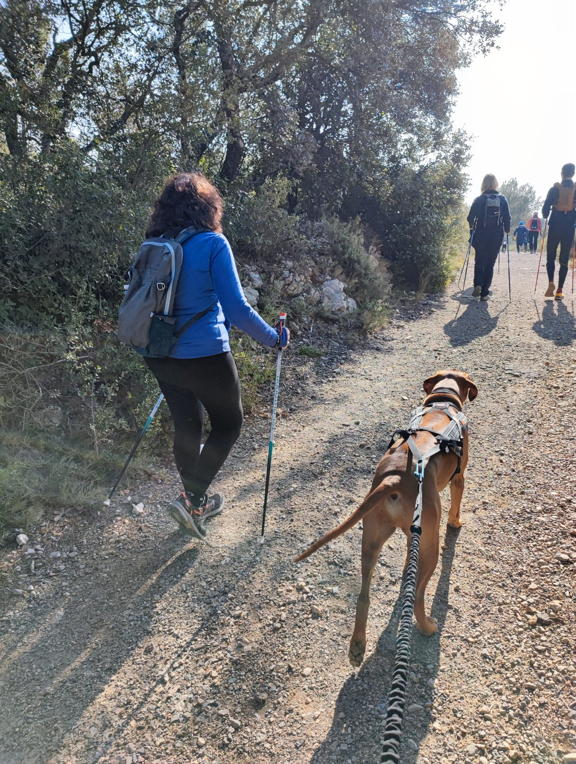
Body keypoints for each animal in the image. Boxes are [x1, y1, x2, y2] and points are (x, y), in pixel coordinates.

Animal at [294, 368, 474, 664]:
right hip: (430, 547)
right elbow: (456, 505)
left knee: (363, 596)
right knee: (417, 598)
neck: (442, 401)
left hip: (371, 541)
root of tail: (394, 480)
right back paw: (427, 627)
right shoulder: (459, 479)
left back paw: (357, 644)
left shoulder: (413, 532)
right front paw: (456, 522)